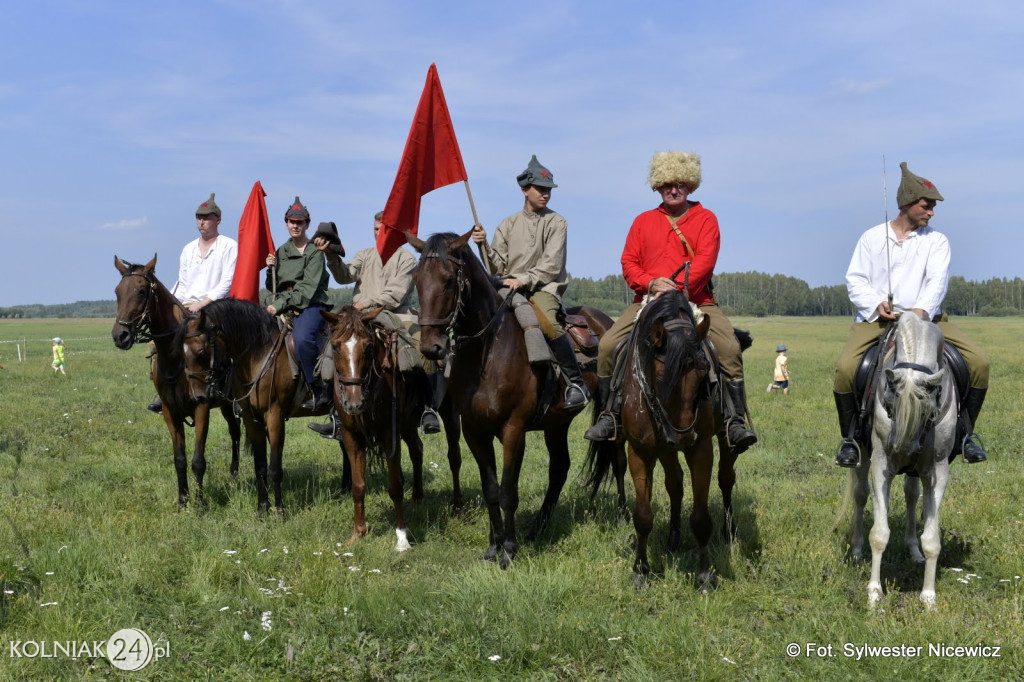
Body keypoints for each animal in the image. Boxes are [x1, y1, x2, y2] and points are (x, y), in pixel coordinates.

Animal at [111, 256, 240, 509]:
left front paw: (199, 505)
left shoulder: (201, 408)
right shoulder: (170, 412)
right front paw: (183, 501)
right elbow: (179, 459)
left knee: (236, 432)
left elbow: (198, 461)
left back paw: (233, 476)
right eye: (117, 292)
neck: (176, 356)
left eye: (141, 291)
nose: (120, 336)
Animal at [180, 294, 344, 512]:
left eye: (201, 352)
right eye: (182, 354)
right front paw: (262, 507)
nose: (198, 397)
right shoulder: (252, 419)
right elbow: (260, 465)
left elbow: (275, 468)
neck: (259, 354)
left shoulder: (275, 417)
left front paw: (280, 510)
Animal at [319, 305, 464, 548]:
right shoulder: (351, 436)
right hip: (407, 425)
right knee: (417, 450)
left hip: (450, 414)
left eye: (368, 346)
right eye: (336, 346)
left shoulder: (390, 435)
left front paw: (402, 537)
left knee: (454, 457)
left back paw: (458, 506)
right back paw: (417, 497)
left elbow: (395, 485)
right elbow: (358, 486)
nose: (354, 402)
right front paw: (358, 533)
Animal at [407, 231, 622, 565]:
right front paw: (493, 546)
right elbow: (491, 488)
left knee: (619, 463)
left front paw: (508, 549)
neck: (488, 351)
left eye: (448, 280)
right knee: (559, 469)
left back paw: (625, 518)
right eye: (416, 279)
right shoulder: (474, 431)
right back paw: (537, 528)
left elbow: (508, 490)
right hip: (556, 424)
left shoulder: (513, 429)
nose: (431, 348)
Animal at [843, 313, 954, 606]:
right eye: (889, 405)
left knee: (911, 495)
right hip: (863, 455)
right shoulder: (882, 464)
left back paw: (913, 551)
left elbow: (932, 539)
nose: (903, 450)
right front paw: (873, 592)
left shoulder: (937, 469)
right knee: (860, 494)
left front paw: (928, 597)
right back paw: (856, 550)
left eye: (929, 411)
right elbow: (879, 534)